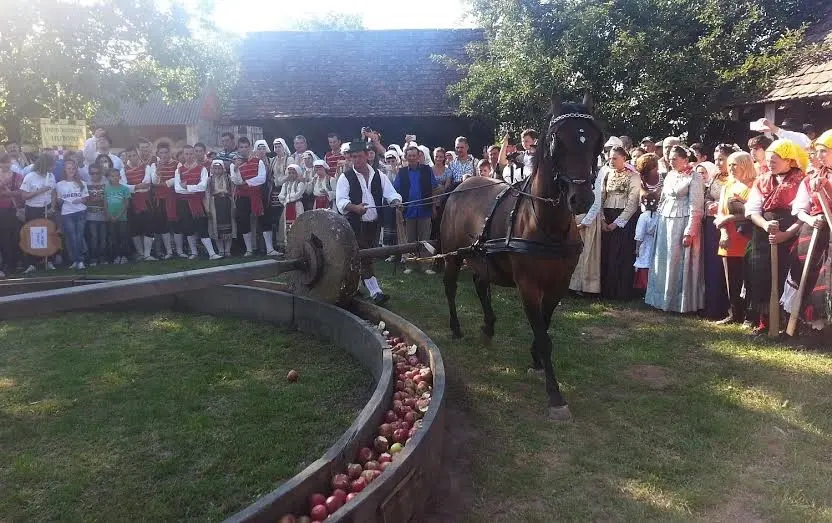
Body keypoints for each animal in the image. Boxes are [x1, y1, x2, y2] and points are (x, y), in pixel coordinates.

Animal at [438, 93, 603, 421]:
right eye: (557, 141)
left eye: (593, 140)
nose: (582, 199)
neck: (548, 226)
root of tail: (462, 183)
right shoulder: (528, 286)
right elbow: (543, 334)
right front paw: (555, 396)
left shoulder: (558, 285)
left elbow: (545, 328)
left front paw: (536, 362)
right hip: (453, 256)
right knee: (450, 287)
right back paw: (456, 327)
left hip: (481, 257)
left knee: (480, 284)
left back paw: (488, 327)